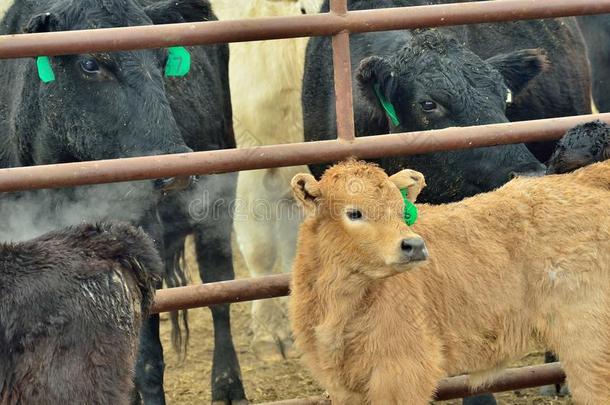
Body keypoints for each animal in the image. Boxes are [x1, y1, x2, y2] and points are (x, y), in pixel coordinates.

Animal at [288, 159, 608, 402]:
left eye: (402, 211)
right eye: (354, 212)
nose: (414, 245)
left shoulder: (403, 373)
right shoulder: (341, 383)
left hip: (588, 341)